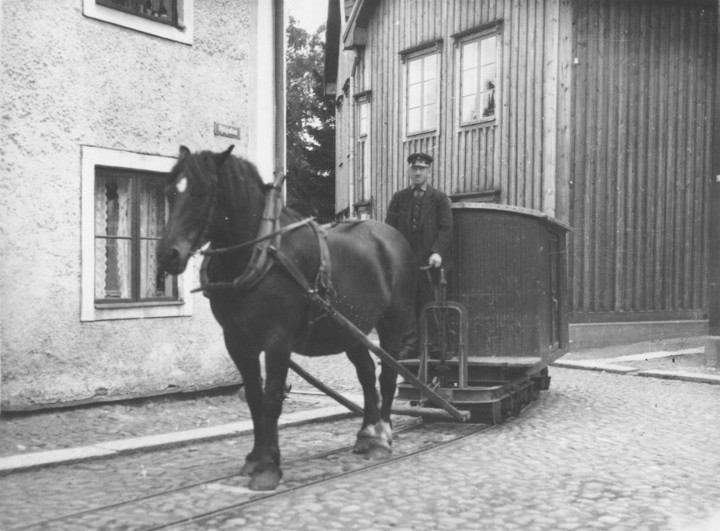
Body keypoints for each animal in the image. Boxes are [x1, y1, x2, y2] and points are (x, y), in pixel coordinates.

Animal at [158, 144, 416, 490]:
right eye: (171, 191)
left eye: (204, 192)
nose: (167, 255)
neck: (260, 253)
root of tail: (389, 235)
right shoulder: (237, 341)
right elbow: (254, 397)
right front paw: (255, 457)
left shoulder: (277, 340)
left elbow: (271, 398)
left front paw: (269, 465)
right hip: (350, 329)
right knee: (365, 374)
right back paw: (366, 433)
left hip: (392, 323)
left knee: (387, 375)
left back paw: (382, 437)